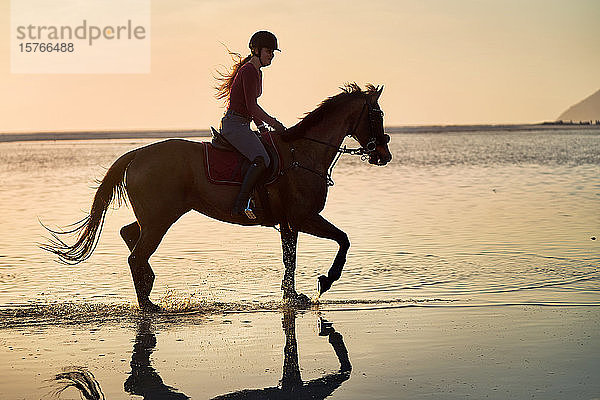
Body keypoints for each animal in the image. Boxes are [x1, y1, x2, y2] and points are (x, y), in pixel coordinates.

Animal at [44, 83, 394, 310]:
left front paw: (292, 296)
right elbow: (342, 240)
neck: (303, 152)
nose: (383, 155)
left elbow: (290, 258)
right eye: (377, 114)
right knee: (136, 255)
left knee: (129, 234)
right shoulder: (302, 217)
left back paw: (149, 287)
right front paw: (325, 281)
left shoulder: (288, 223)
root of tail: (138, 153)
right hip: (160, 219)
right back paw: (148, 304)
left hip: (155, 217)